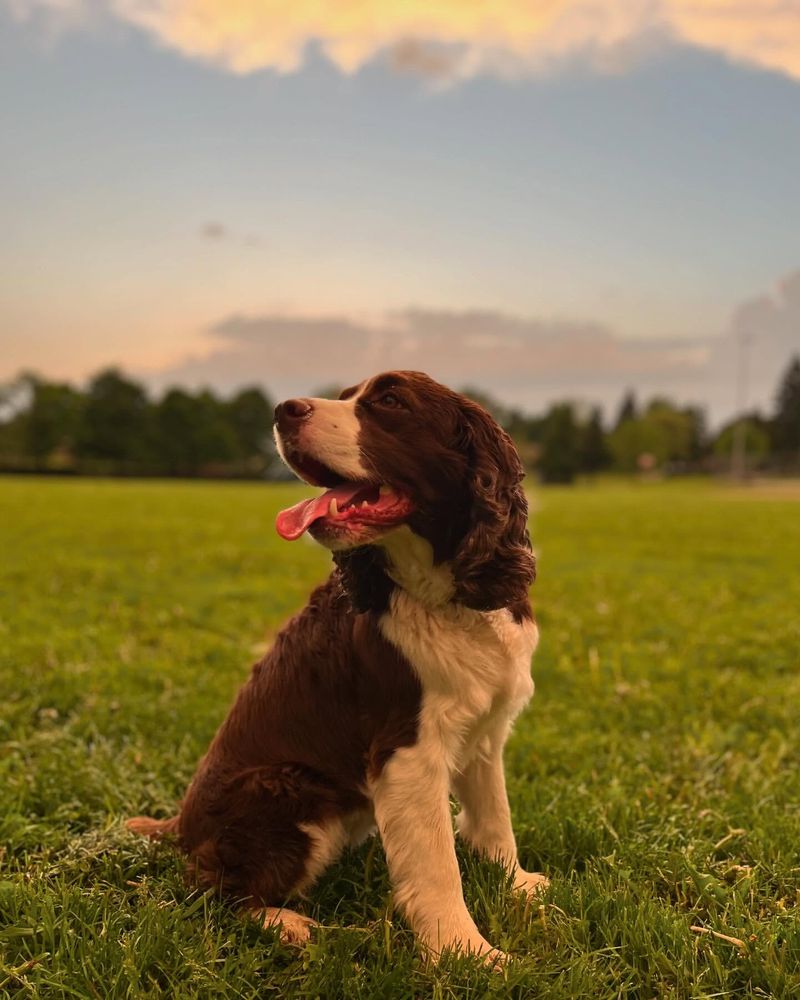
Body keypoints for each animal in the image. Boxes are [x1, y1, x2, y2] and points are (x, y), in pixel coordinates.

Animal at [128, 372, 548, 964]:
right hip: (286, 788)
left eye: (389, 402)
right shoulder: (407, 751)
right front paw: (468, 953)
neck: (443, 596)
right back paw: (287, 925)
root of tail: (180, 827)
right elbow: (438, 866)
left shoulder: (486, 728)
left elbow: (495, 818)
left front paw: (517, 885)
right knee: (208, 885)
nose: (283, 409)